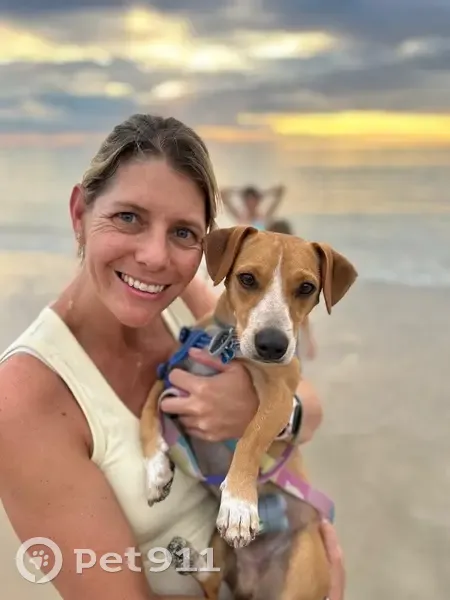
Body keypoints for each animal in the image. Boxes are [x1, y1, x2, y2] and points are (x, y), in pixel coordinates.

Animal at [140, 225, 357, 599]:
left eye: (307, 287)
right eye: (247, 278)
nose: (272, 346)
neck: (226, 346)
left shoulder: (280, 397)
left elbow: (251, 439)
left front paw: (239, 504)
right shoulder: (168, 375)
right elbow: (146, 414)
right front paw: (156, 473)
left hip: (300, 569)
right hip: (220, 547)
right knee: (211, 577)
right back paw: (189, 557)